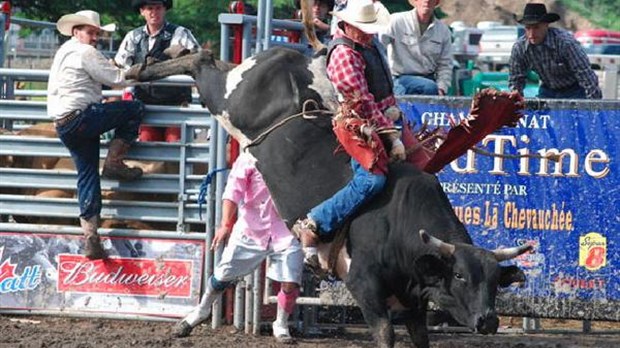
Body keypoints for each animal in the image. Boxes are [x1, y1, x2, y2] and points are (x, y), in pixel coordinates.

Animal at [128, 47, 532, 348]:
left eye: (495, 280)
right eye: (460, 275)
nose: (488, 320)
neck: (400, 222)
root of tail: (285, 56)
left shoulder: (414, 302)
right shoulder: (365, 288)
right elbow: (384, 335)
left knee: (208, 58)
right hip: (229, 98)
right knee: (203, 62)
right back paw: (138, 68)